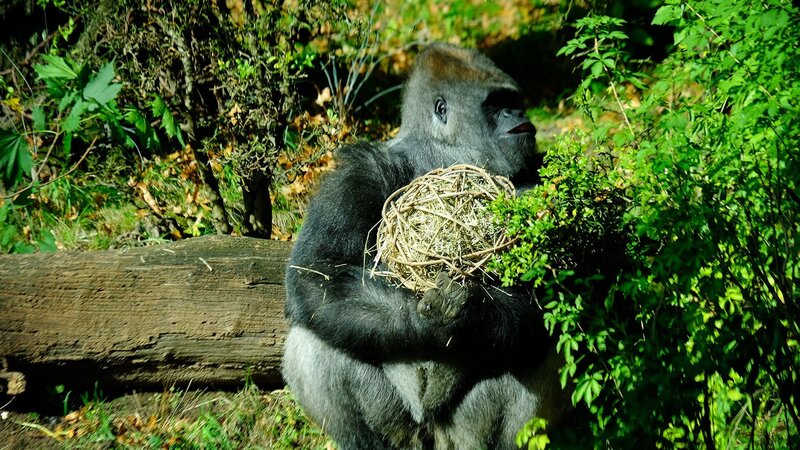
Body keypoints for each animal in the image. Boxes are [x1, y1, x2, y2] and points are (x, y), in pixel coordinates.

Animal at [282, 43, 569, 450]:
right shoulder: (360, 169)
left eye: (514, 102)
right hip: (406, 429)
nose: (520, 115)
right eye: (497, 104)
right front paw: (431, 323)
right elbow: (318, 272)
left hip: (458, 433)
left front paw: (473, 316)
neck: (443, 153)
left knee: (539, 345)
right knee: (314, 338)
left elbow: (558, 287)